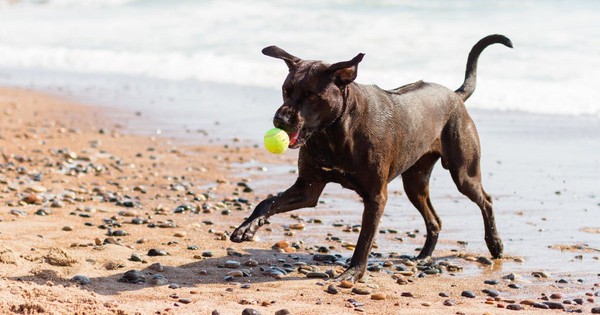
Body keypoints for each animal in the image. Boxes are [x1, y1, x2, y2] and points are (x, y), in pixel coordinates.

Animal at [232, 34, 512, 282]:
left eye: (311, 95)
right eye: (285, 90)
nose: (279, 120)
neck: (334, 131)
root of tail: (455, 95)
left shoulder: (376, 196)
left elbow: (364, 239)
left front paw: (353, 272)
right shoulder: (308, 188)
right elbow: (267, 202)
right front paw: (247, 227)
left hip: (463, 172)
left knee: (485, 200)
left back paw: (495, 244)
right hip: (415, 181)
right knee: (435, 219)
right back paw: (424, 256)